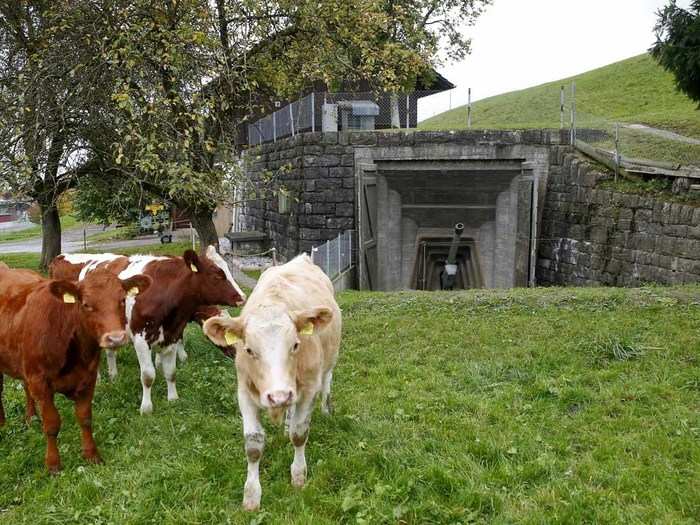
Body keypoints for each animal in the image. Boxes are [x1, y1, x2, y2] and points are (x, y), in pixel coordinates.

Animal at [0, 266, 150, 470]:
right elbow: (52, 424)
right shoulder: (39, 381)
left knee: (24, 387)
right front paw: (53, 464)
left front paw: (92, 454)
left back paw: (31, 417)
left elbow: (85, 418)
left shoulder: (88, 378)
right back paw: (2, 423)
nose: (116, 338)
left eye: (122, 300)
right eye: (86, 304)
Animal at [50, 246, 246, 414]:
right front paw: (146, 407)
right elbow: (148, 375)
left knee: (110, 352)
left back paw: (113, 375)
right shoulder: (141, 339)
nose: (242, 297)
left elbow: (171, 372)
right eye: (218, 275)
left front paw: (173, 398)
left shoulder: (171, 335)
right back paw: (97, 380)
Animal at [202, 252, 342, 510]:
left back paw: (326, 409)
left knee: (327, 381)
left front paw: (298, 476)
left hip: (330, 360)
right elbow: (253, 445)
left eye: (295, 345)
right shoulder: (244, 392)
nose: (279, 396)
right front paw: (251, 496)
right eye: (248, 350)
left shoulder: (308, 389)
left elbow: (299, 433)